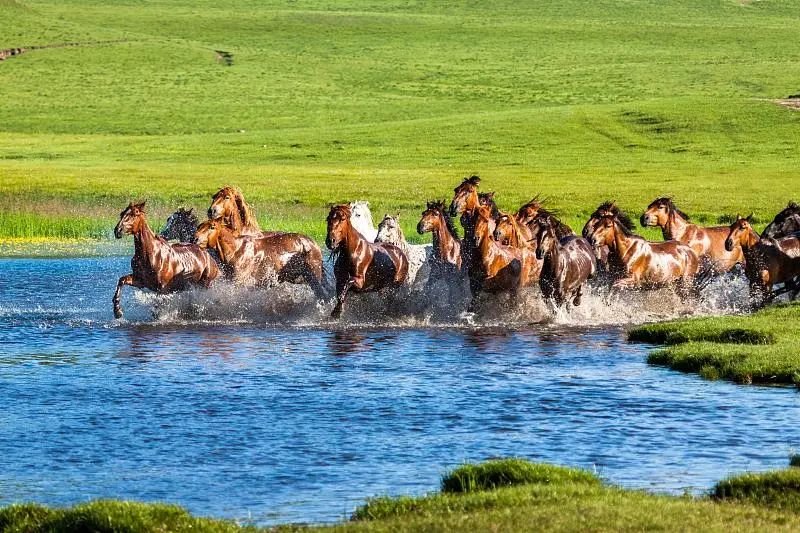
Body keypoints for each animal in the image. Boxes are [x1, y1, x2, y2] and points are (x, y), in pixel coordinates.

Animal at [192, 217, 326, 300]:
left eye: (212, 226)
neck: (235, 251)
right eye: (199, 226)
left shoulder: (239, 282)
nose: (195, 238)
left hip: (314, 277)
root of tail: (313, 244)